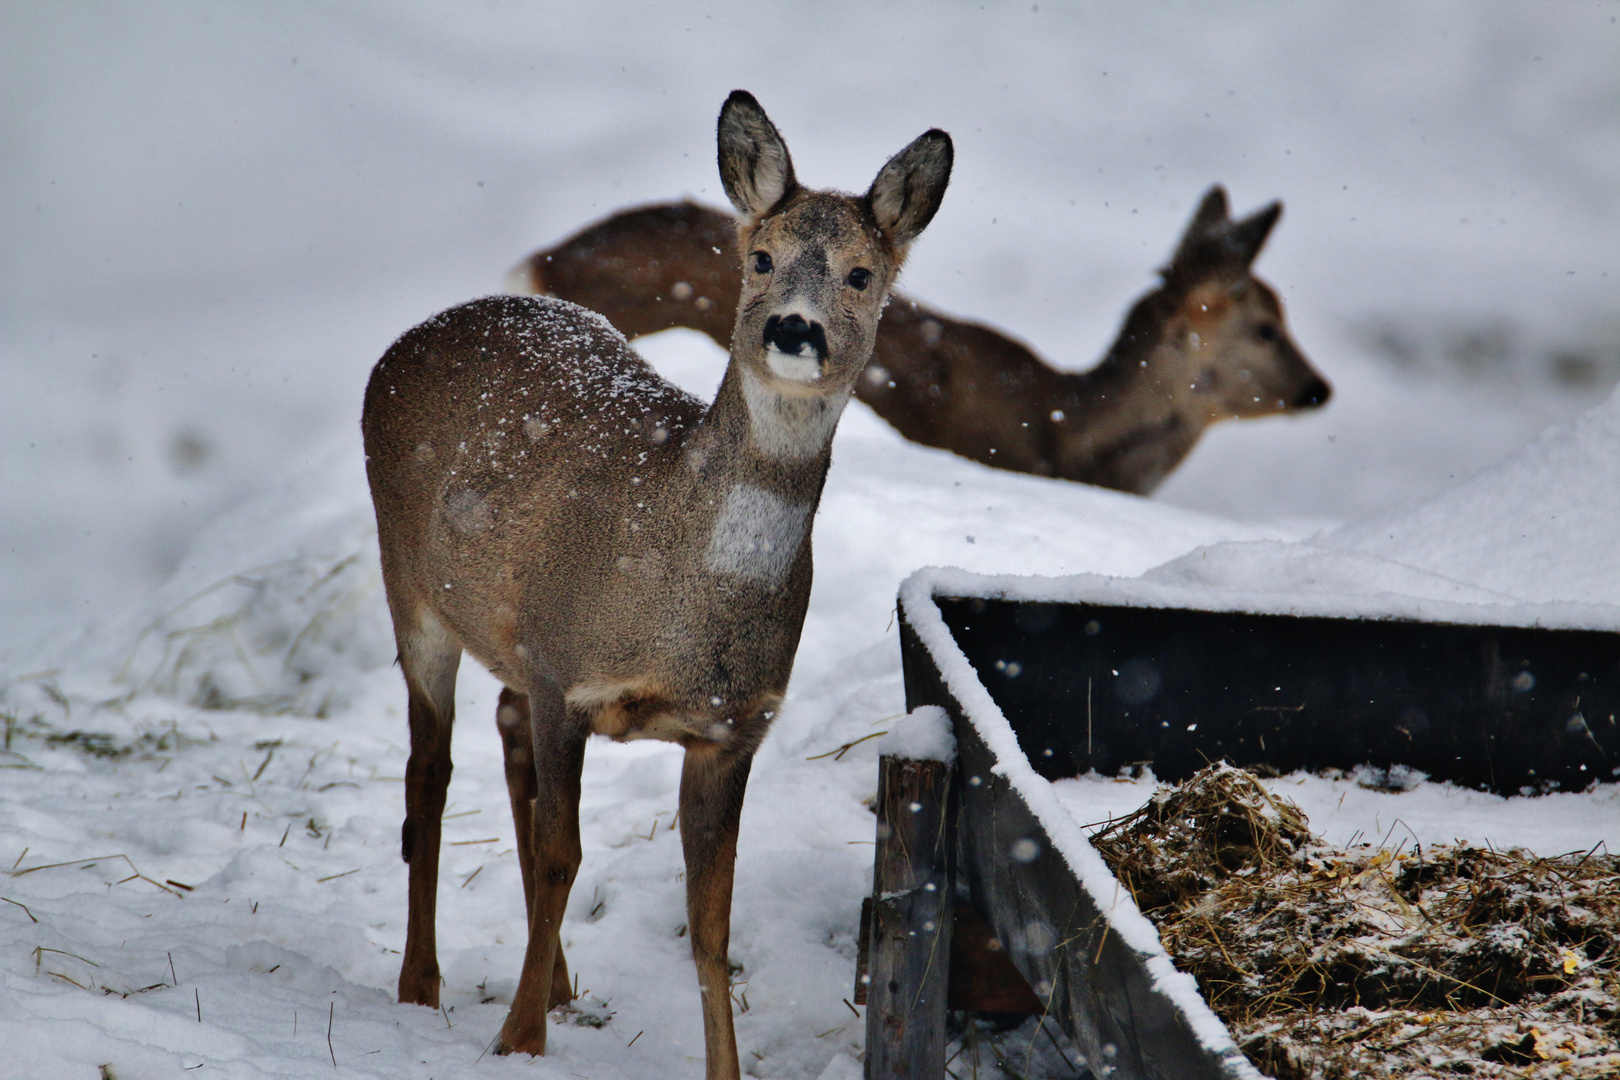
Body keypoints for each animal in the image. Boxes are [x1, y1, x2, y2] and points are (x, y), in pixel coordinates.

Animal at [362, 88, 952, 1075]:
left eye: (863, 274)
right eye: (760, 257)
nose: (794, 329)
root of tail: (409, 338)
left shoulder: (731, 728)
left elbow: (710, 922)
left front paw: (721, 1068)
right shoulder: (568, 673)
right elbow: (563, 856)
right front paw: (517, 1039)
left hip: (511, 637)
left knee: (503, 732)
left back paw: (556, 981)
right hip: (412, 590)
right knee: (430, 769)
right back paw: (422, 984)